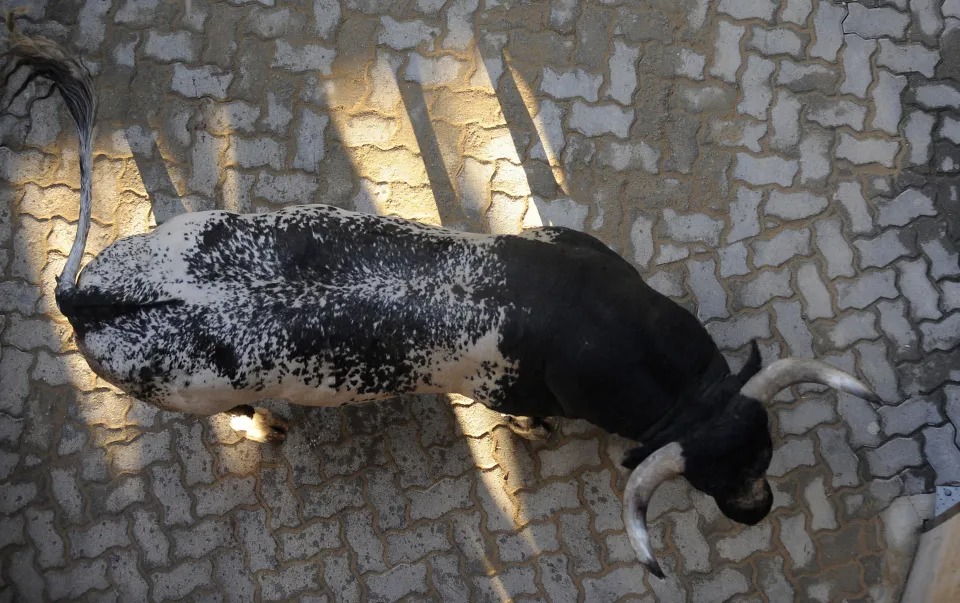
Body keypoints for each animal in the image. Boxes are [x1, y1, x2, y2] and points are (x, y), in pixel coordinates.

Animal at [3, 30, 880, 580]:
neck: (589, 322)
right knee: (243, 411)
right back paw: (269, 423)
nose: (758, 510)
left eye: (765, 450)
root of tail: (85, 293)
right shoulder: (503, 389)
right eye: (709, 482)